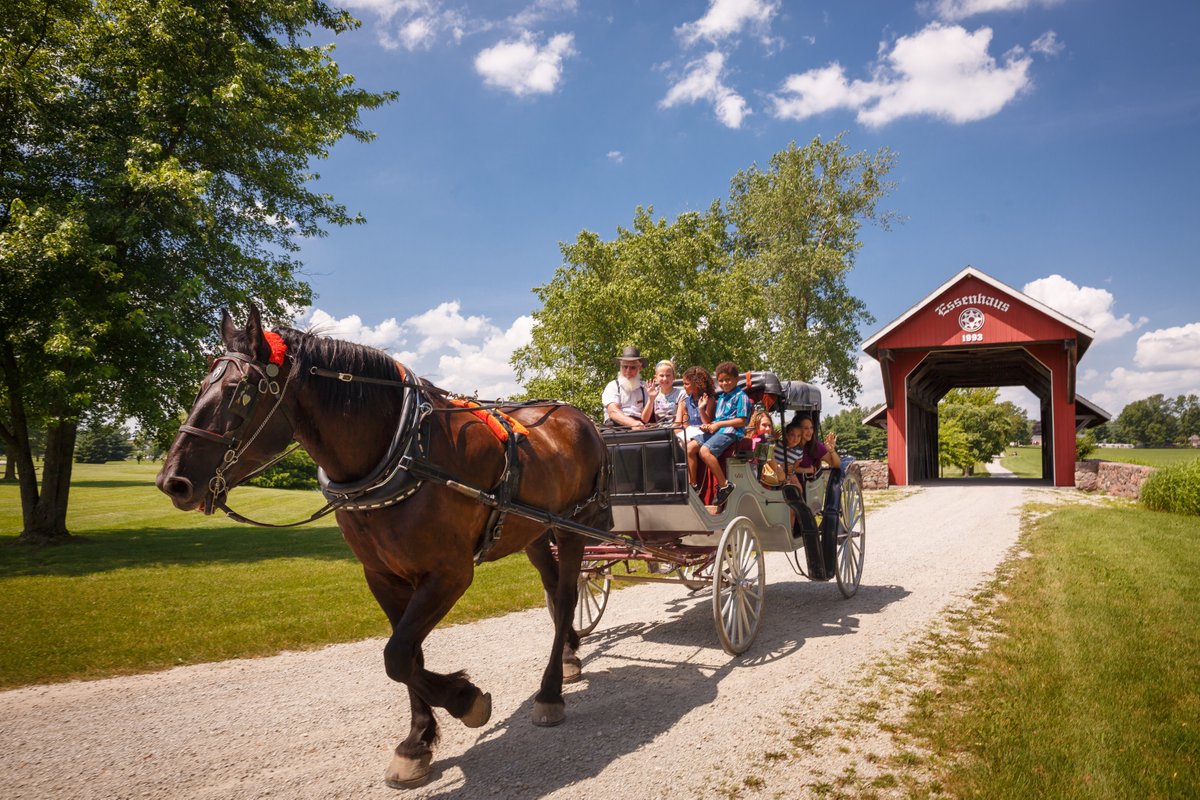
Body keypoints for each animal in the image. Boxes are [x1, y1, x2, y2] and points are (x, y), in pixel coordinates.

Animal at [153, 309, 609, 786]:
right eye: (201, 385)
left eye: (239, 393)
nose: (172, 482)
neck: (405, 451)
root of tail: (577, 415)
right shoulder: (384, 576)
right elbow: (407, 656)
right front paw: (417, 742)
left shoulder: (449, 574)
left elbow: (397, 656)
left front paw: (464, 699)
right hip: (535, 532)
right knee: (555, 593)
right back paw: (570, 655)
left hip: (574, 527)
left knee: (566, 595)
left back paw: (550, 691)